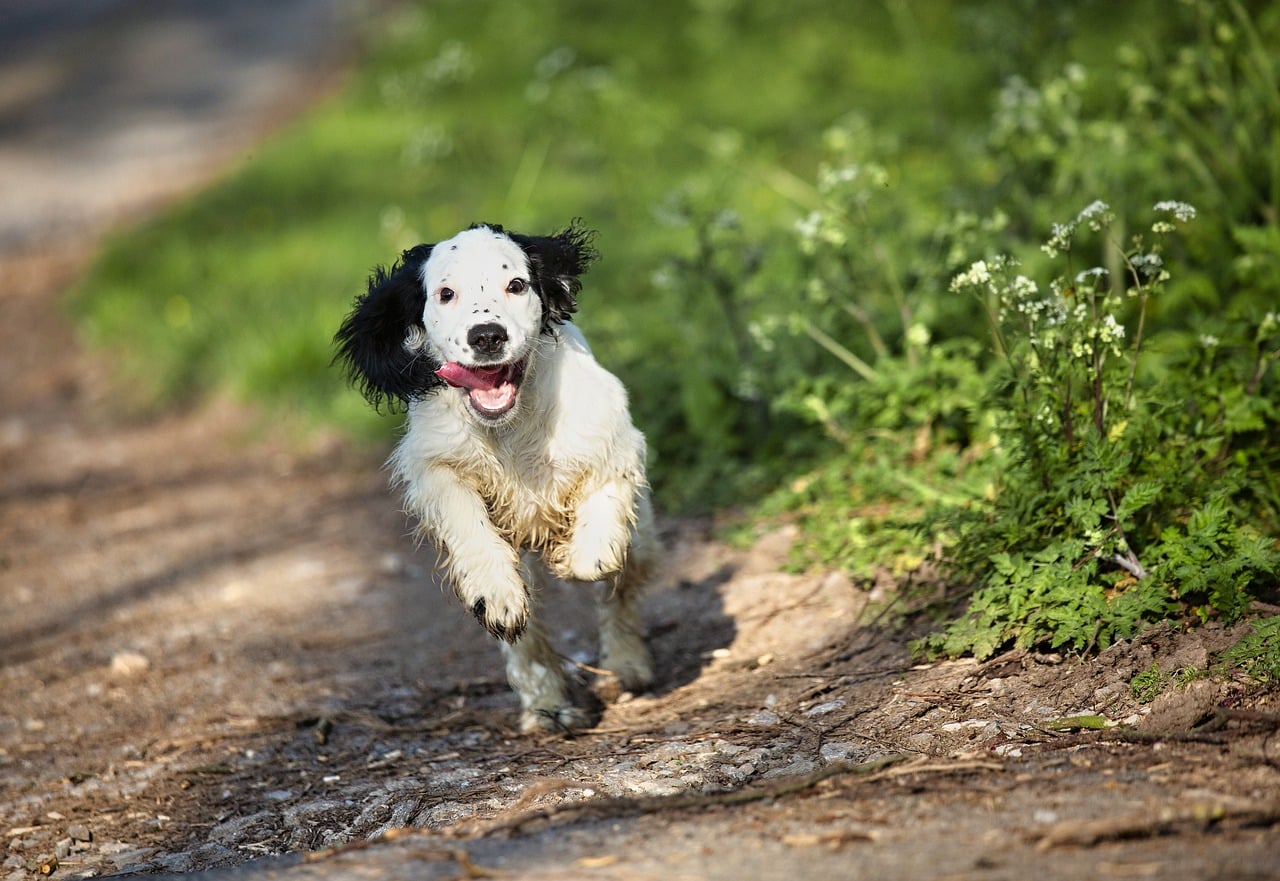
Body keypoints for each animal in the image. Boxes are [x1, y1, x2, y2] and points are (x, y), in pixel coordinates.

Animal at [335, 221, 655, 737]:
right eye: (445, 293)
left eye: (517, 285)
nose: (487, 335)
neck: (510, 426)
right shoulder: (435, 463)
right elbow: (466, 523)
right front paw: (495, 591)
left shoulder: (613, 436)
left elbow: (603, 526)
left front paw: (582, 553)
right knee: (527, 631)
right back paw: (546, 706)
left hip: (643, 539)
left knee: (622, 589)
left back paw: (627, 665)